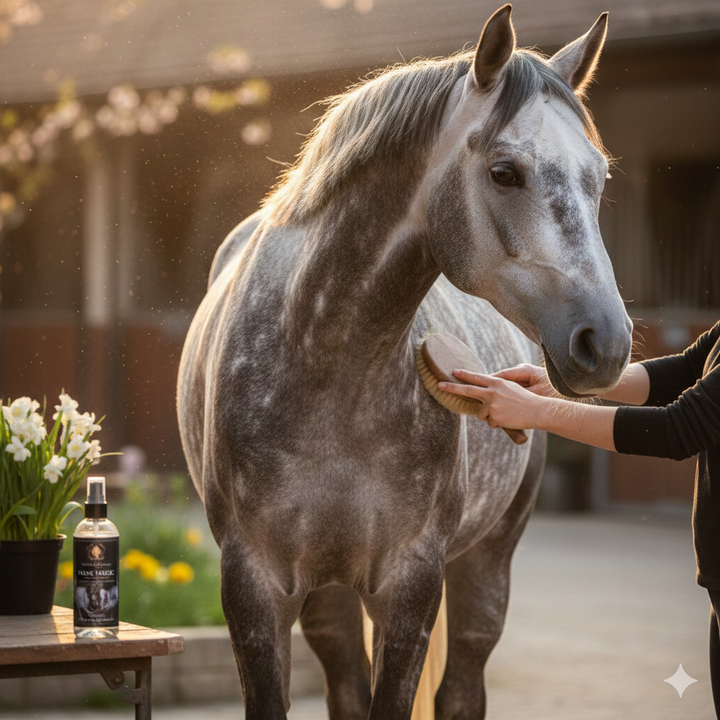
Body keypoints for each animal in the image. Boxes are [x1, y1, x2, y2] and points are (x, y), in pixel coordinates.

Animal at [177, 5, 632, 719]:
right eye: (505, 172)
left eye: (599, 178)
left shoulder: (410, 583)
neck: (329, 362)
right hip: (329, 594)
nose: (604, 343)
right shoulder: (252, 586)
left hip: (486, 562)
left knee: (462, 687)